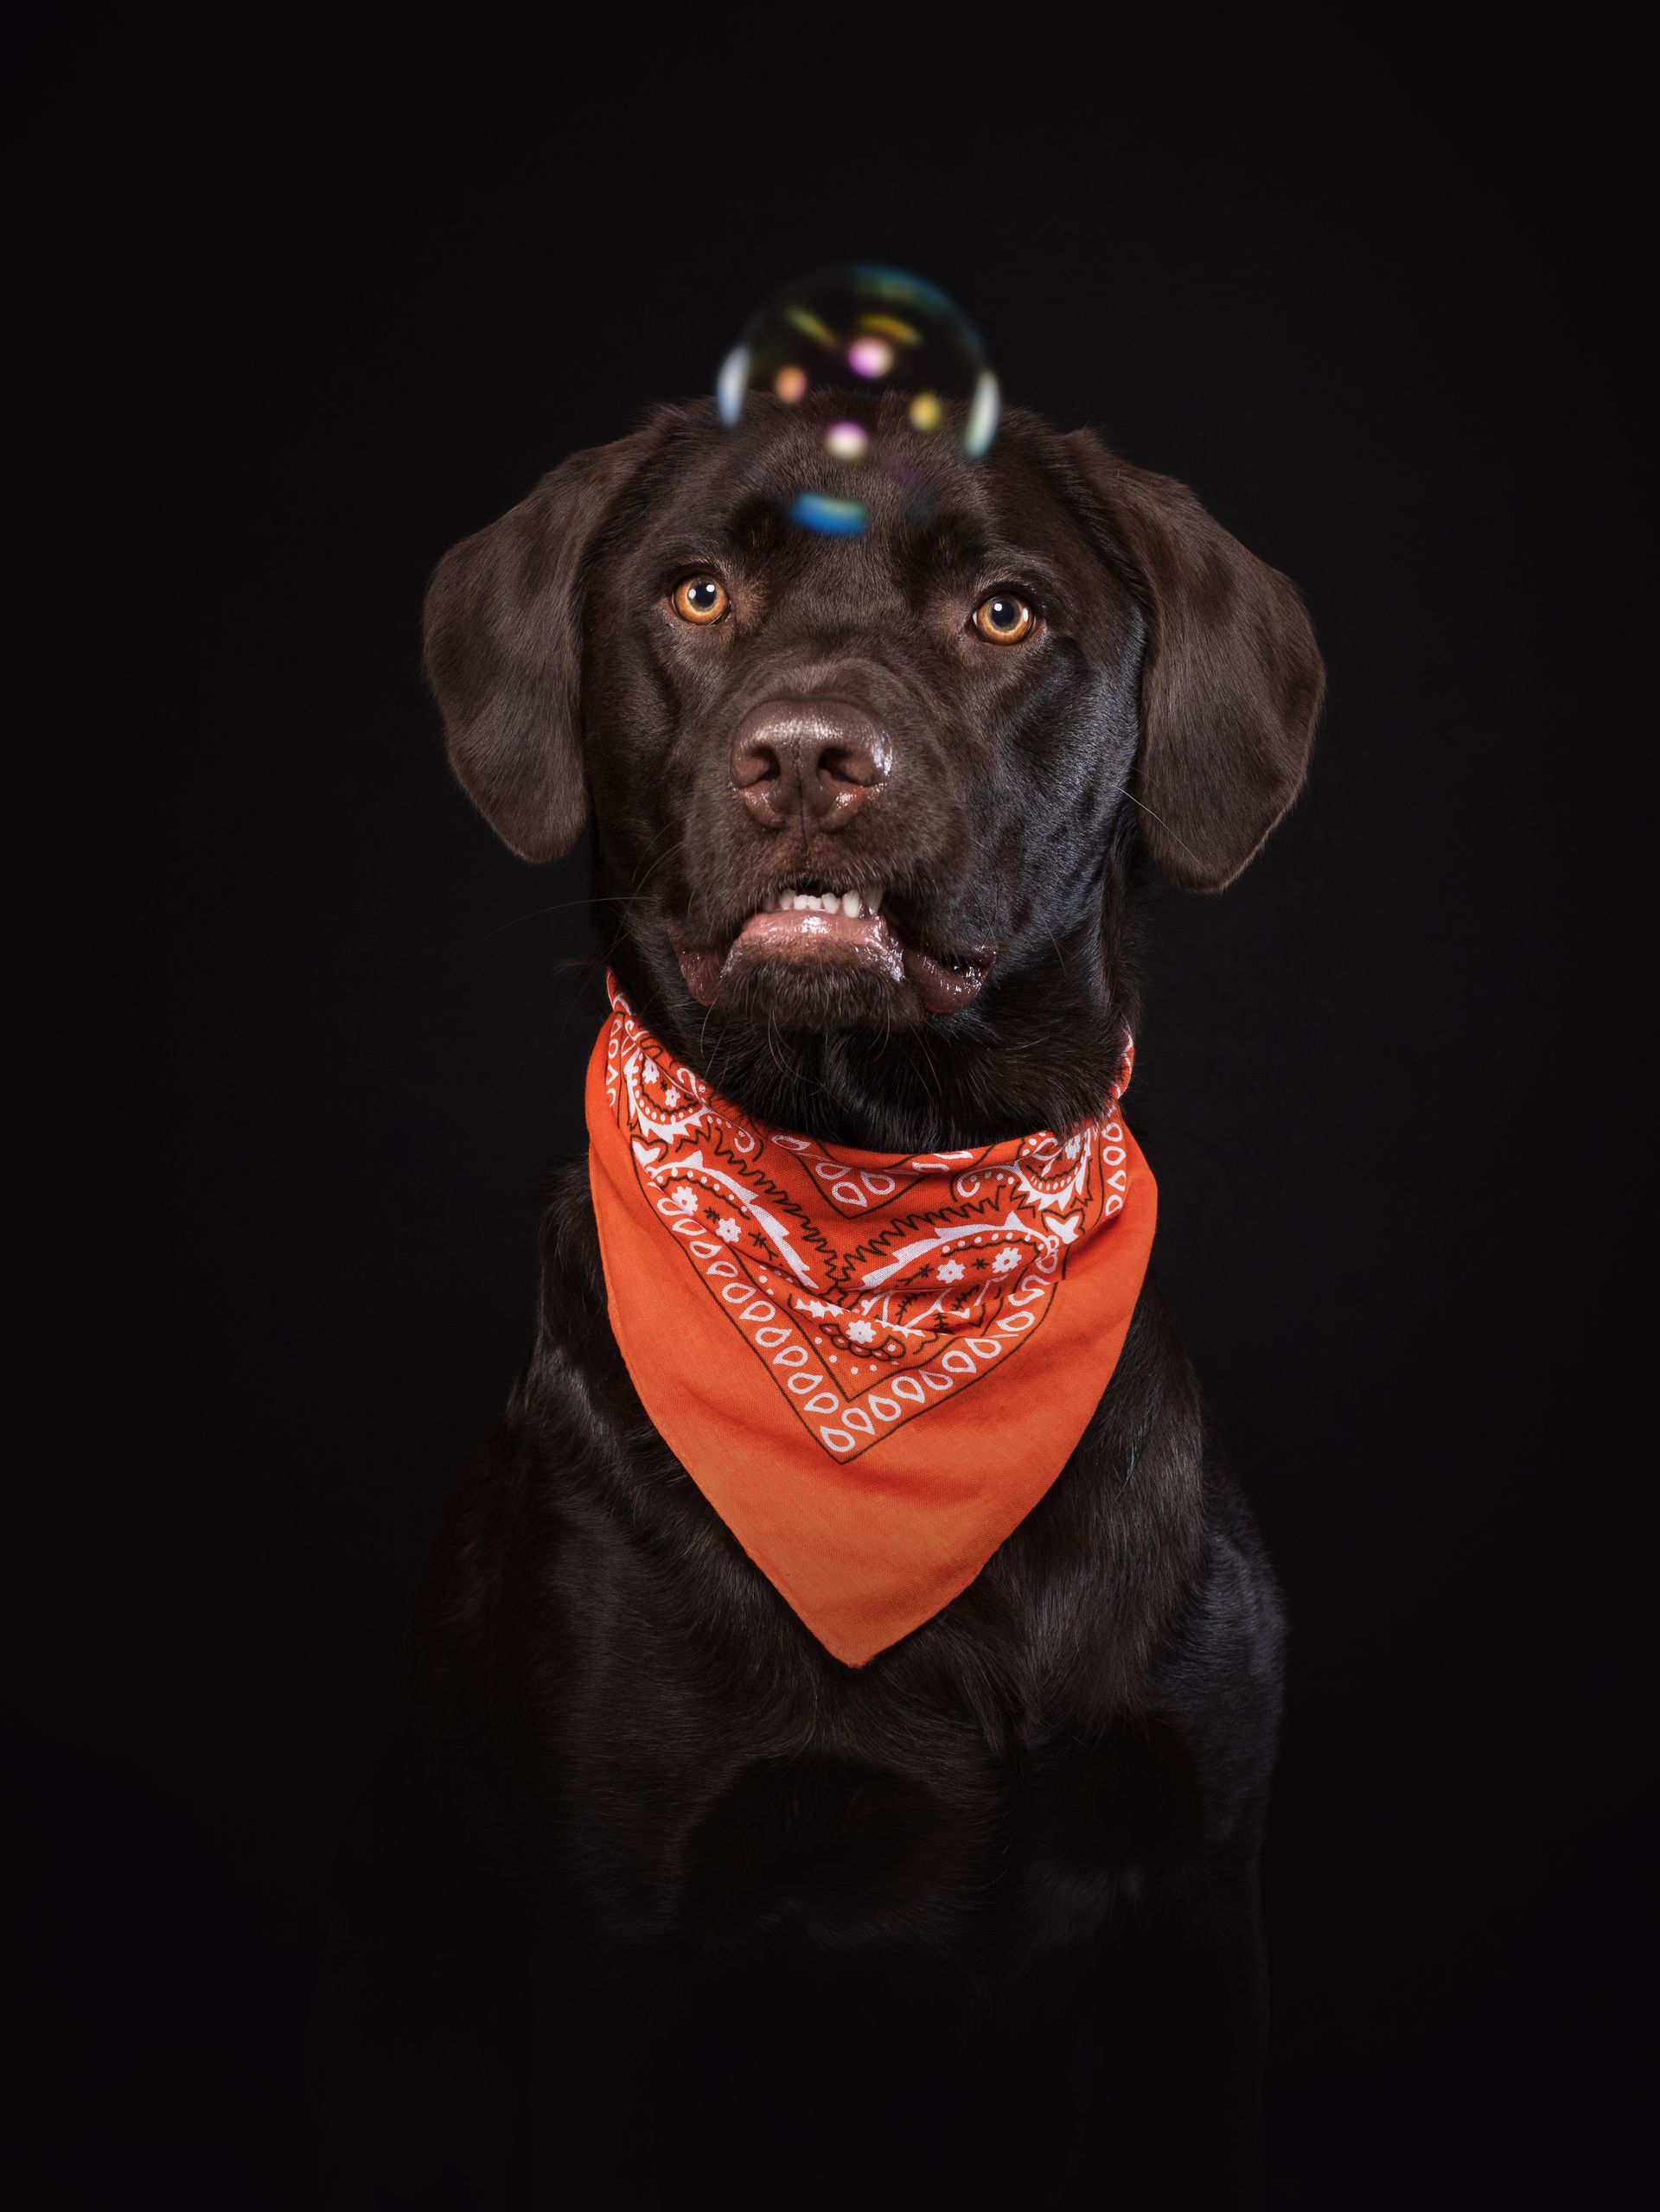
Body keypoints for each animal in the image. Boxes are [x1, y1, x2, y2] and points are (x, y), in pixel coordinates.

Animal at [324, 388, 1323, 2208]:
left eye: (1002, 610)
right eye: (698, 592)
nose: (803, 756)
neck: (879, 1200)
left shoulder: (1203, 1905)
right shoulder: (622, 1943)